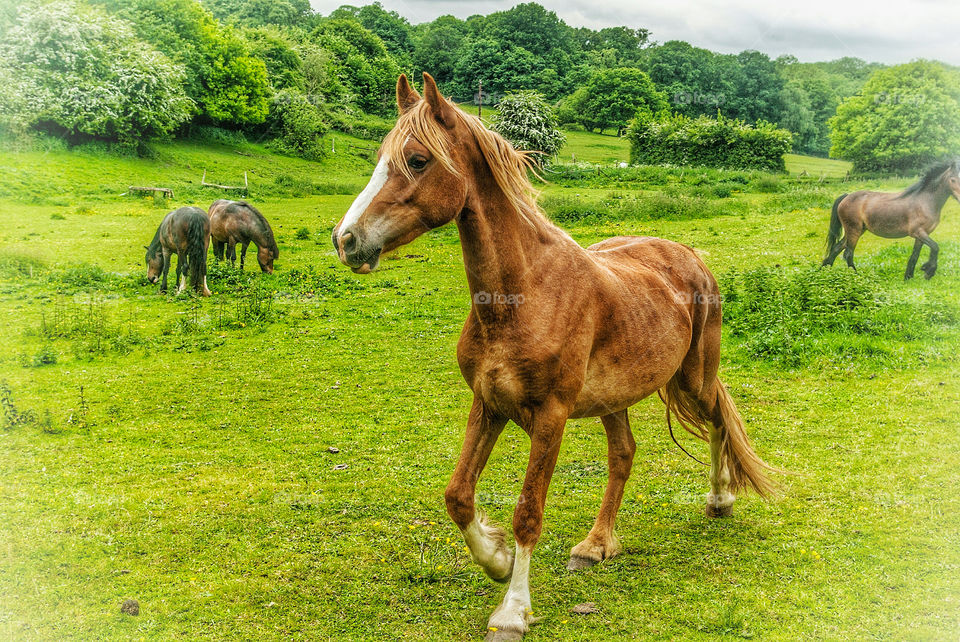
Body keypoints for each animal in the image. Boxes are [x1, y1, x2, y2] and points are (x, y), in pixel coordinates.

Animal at [331, 73, 776, 640]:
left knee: (718, 416)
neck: (522, 295)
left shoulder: (550, 417)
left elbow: (528, 511)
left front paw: (513, 610)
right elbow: (458, 495)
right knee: (624, 455)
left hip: (694, 376)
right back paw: (596, 545)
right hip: (615, 399)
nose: (347, 240)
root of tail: (689, 256)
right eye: (380, 157)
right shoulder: (489, 404)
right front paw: (496, 560)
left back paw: (720, 499)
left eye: (417, 160)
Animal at [823, 160, 960, 279]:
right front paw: (928, 271)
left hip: (857, 230)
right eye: (953, 179)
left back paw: (824, 271)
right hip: (854, 230)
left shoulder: (922, 235)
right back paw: (856, 276)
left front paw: (909, 277)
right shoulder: (918, 232)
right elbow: (935, 247)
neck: (925, 201)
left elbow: (915, 255)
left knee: (836, 248)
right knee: (848, 254)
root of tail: (846, 196)